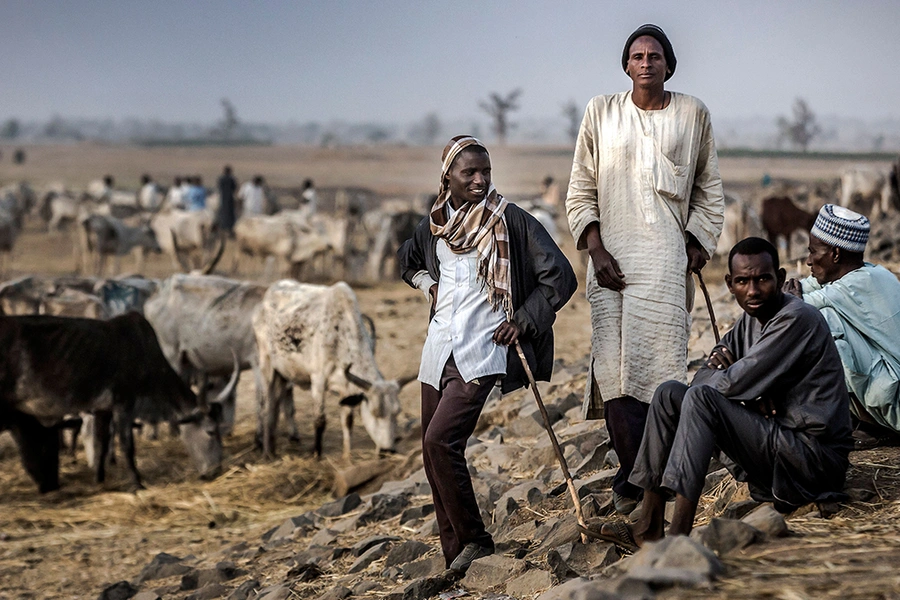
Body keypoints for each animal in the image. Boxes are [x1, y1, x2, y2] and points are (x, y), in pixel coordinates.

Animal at [0, 312, 225, 490]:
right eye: (211, 431)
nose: (216, 471)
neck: (144, 350)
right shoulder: (124, 404)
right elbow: (127, 445)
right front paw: (137, 483)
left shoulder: (103, 409)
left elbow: (101, 442)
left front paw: (99, 479)